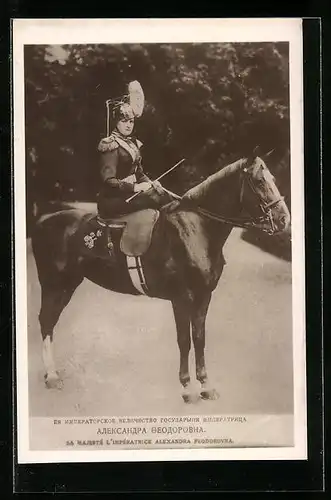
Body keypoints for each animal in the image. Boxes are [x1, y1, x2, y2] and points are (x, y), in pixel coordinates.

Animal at [30, 151, 290, 402]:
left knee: (49, 322)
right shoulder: (181, 298)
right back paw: (51, 376)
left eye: (273, 179)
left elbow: (199, 338)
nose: (283, 220)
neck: (197, 228)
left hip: (68, 285)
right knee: (46, 321)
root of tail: (43, 219)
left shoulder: (204, 296)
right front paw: (187, 388)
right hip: (54, 284)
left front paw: (206, 385)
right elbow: (184, 340)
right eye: (259, 181)